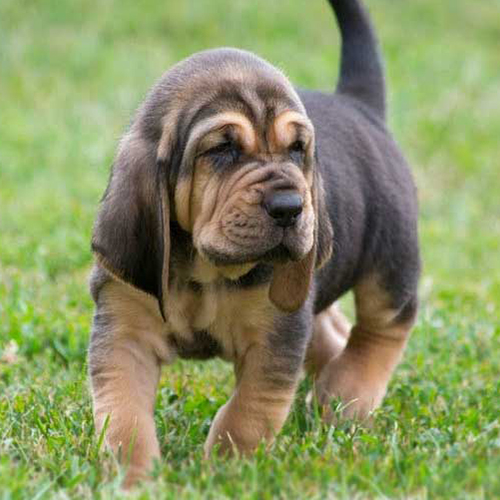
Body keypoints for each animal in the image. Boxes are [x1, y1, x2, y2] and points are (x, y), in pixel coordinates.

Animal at [88, 0, 420, 486]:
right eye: (222, 149)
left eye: (298, 149)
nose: (289, 206)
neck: (206, 271)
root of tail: (359, 104)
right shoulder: (124, 332)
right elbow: (124, 414)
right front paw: (131, 477)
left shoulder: (275, 337)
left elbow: (247, 413)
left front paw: (226, 470)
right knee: (334, 331)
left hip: (390, 261)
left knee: (384, 326)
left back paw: (348, 392)